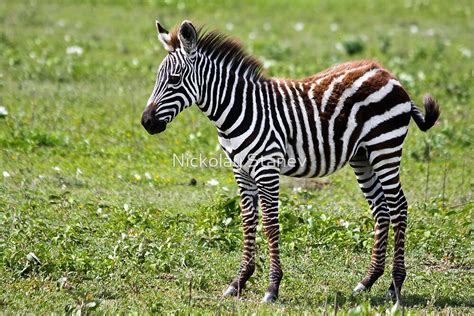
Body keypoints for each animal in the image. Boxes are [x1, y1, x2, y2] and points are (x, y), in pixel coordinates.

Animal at [141, 19, 440, 304]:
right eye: (157, 78)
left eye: (175, 79)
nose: (146, 122)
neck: (236, 111)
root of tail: (389, 75)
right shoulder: (241, 170)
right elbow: (248, 221)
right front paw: (238, 282)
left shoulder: (266, 168)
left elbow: (270, 224)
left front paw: (272, 288)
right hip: (362, 156)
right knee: (381, 209)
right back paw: (367, 281)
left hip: (385, 148)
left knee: (398, 206)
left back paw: (395, 285)